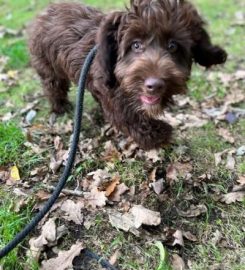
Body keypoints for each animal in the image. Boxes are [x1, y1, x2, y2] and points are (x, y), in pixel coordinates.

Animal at [27, 0, 227, 150]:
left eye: (173, 46)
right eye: (135, 45)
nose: (154, 85)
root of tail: (46, 11)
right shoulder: (115, 99)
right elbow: (131, 119)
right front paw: (162, 133)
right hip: (48, 65)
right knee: (53, 86)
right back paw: (61, 108)